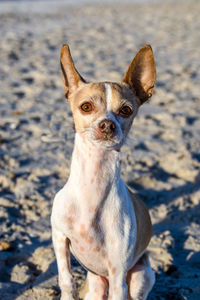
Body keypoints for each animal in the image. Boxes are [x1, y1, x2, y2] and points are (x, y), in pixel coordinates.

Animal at [50, 42, 156, 300]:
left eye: (126, 110)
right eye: (86, 107)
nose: (107, 124)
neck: (93, 180)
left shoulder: (118, 276)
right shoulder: (59, 236)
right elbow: (66, 279)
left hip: (140, 277)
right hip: (96, 286)